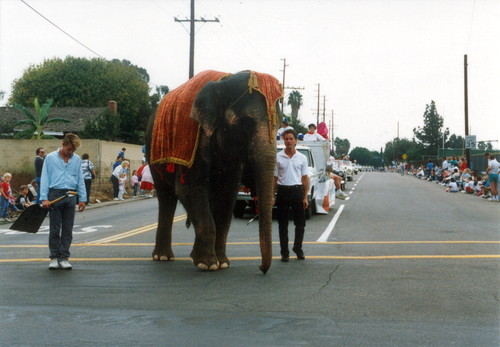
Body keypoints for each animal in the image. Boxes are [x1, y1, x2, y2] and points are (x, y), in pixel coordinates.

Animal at [146, 69, 284, 274]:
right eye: (247, 123)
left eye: (279, 125)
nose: (261, 268)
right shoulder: (196, 141)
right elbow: (189, 190)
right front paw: (208, 264)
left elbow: (227, 195)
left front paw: (223, 263)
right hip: (152, 155)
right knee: (167, 197)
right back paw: (162, 257)